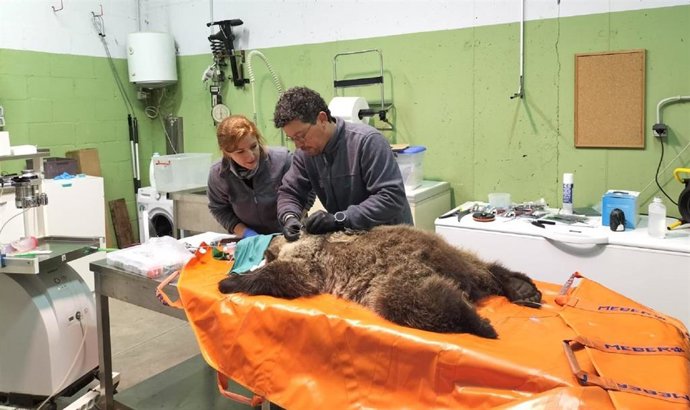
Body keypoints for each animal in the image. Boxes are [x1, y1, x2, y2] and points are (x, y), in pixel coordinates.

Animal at [218, 225, 542, 338]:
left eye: (266, 255)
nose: (264, 256)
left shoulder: (308, 261)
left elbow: (288, 275)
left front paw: (233, 281)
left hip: (396, 276)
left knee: (414, 301)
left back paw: (480, 324)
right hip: (452, 260)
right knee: (483, 268)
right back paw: (520, 287)